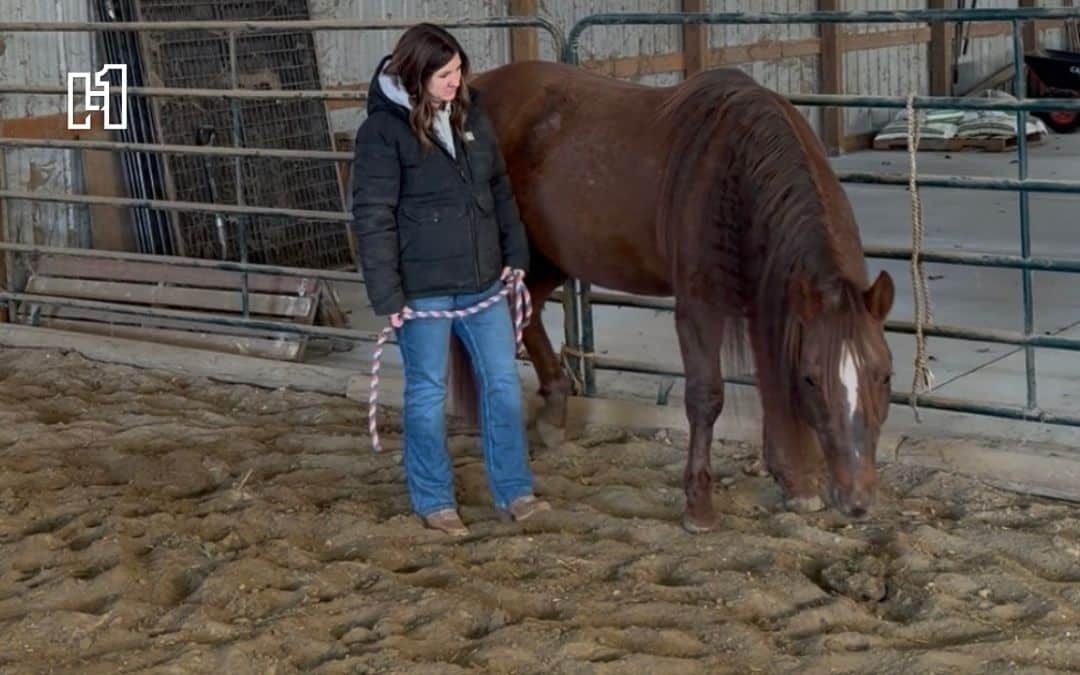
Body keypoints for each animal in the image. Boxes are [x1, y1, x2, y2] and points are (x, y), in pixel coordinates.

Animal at [451, 60, 895, 532]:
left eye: (885, 376)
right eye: (812, 379)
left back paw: (552, 415)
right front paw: (699, 507)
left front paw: (795, 483)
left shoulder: (768, 301)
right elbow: (706, 396)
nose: (857, 501)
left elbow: (771, 384)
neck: (736, 174)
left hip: (548, 256)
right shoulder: (700, 306)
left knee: (525, 311)